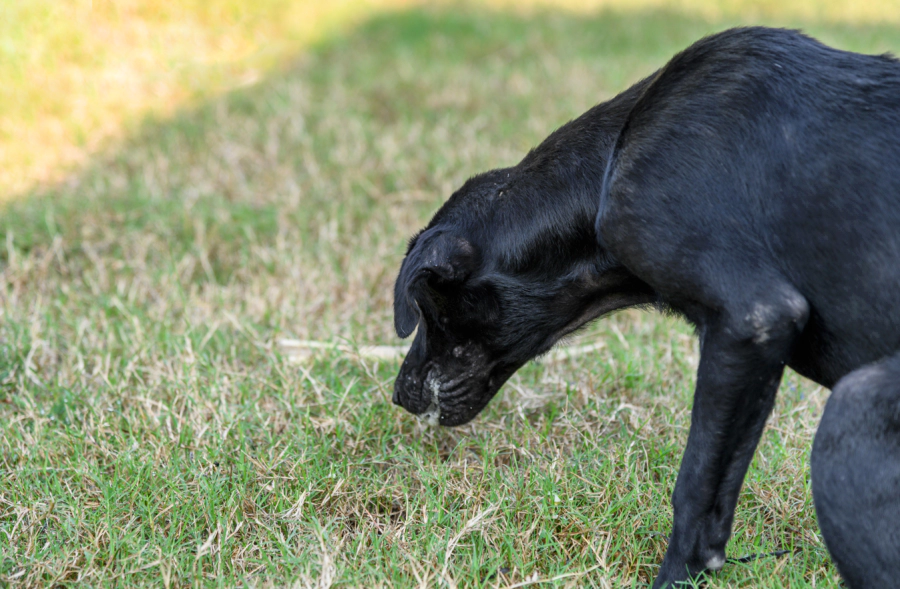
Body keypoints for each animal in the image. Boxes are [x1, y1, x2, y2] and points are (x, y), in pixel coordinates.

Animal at [392, 28, 900, 588]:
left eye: (429, 309)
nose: (399, 393)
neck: (610, 165)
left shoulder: (753, 320)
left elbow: (694, 492)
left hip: (851, 407)